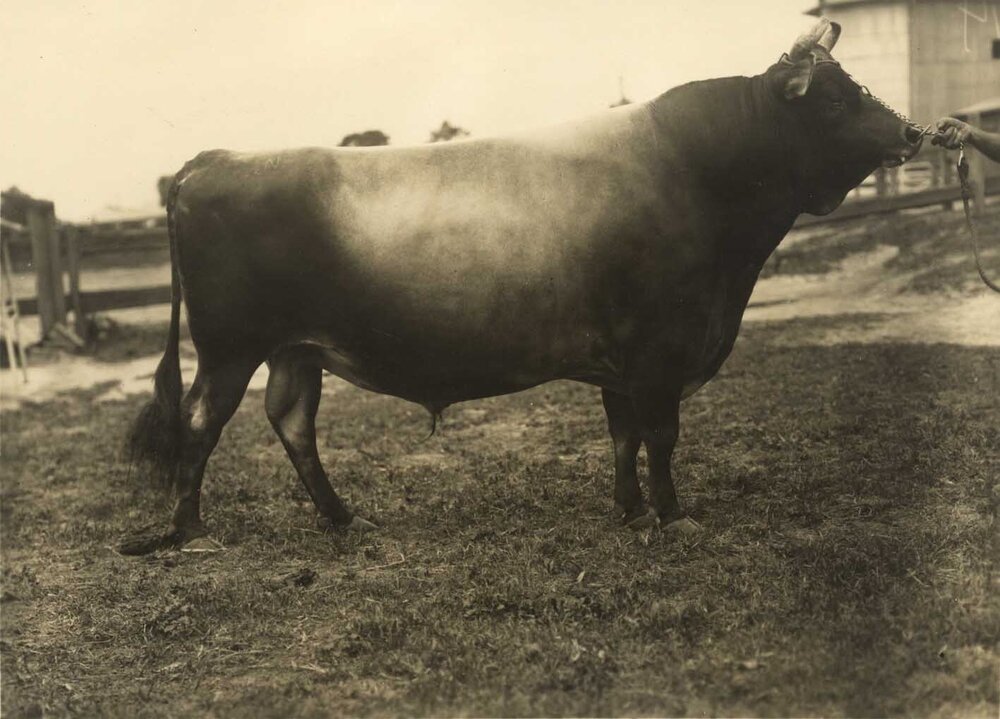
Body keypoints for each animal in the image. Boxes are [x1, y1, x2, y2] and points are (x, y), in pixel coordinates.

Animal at [122, 19, 924, 554]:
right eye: (833, 100)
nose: (913, 134)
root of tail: (215, 159)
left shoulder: (620, 360)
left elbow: (624, 435)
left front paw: (632, 511)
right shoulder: (658, 349)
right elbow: (660, 435)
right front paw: (672, 516)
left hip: (297, 348)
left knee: (291, 422)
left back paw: (344, 517)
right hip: (230, 346)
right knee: (201, 420)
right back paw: (188, 529)